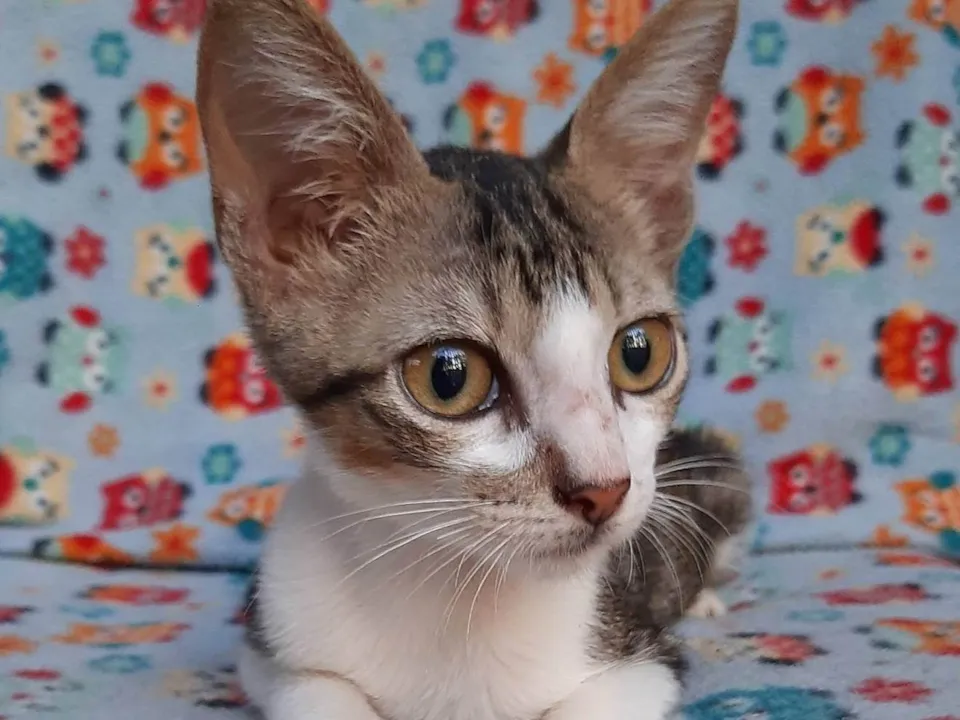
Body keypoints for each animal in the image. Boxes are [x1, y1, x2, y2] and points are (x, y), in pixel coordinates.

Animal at [196, 0, 749, 718]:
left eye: (639, 353)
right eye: (448, 376)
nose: (605, 489)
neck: (458, 586)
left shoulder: (646, 662)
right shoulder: (272, 651)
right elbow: (319, 692)